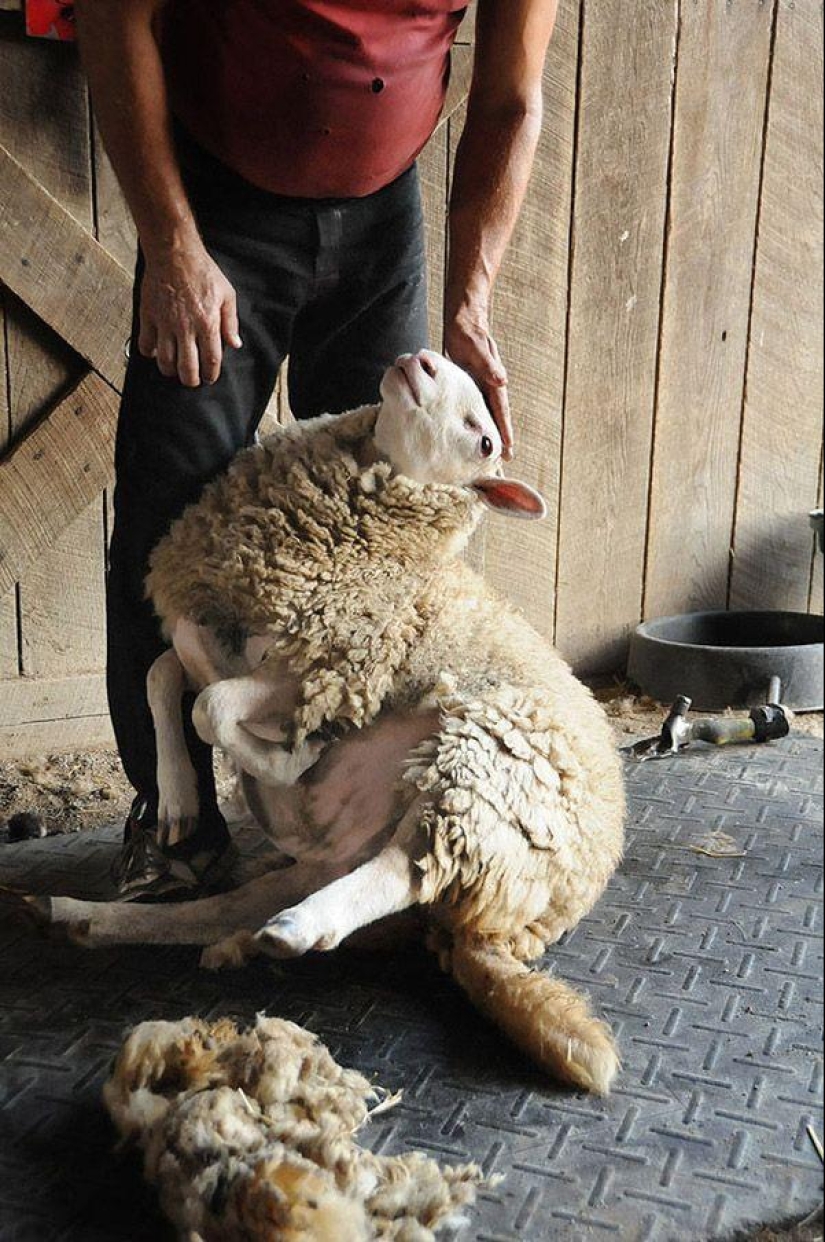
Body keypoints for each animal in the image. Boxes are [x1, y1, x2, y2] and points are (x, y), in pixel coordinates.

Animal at [22, 350, 626, 1094]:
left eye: (485, 440)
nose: (422, 358)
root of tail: (489, 934)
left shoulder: (325, 670)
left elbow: (210, 707)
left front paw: (289, 758)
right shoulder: (225, 642)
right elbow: (162, 677)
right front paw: (177, 798)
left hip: (486, 774)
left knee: (407, 867)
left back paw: (301, 926)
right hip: (359, 845)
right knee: (216, 910)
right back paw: (82, 919)